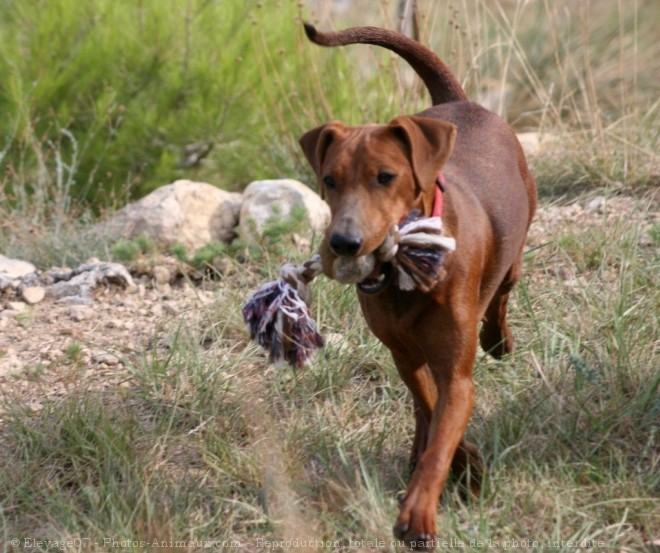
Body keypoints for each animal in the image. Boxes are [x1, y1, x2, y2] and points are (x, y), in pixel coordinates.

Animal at [300, 24, 536, 544]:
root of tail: (459, 101)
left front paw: (421, 511)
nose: (344, 243)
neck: (405, 276)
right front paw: (466, 467)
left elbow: (443, 428)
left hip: (516, 246)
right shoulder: (406, 356)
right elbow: (431, 412)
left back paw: (499, 340)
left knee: (503, 295)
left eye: (386, 176)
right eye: (329, 179)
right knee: (419, 411)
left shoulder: (456, 372)